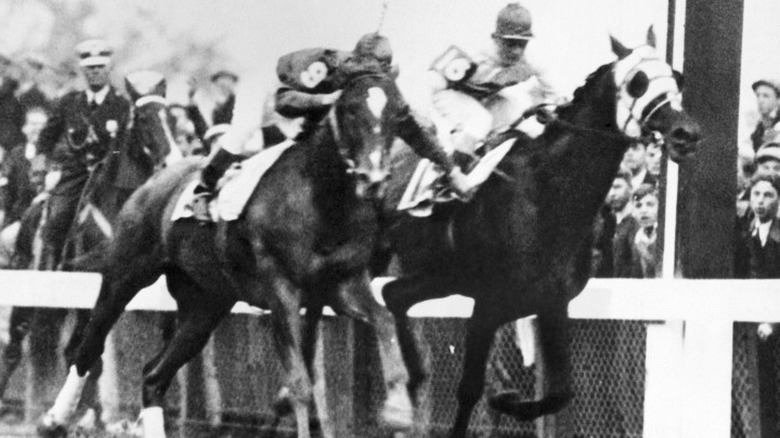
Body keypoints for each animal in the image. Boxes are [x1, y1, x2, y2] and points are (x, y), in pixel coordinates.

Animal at [41, 72, 420, 438]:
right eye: (352, 110)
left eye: (397, 114)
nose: (375, 178)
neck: (323, 200)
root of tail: (149, 185)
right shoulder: (281, 290)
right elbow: (299, 384)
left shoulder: (344, 285)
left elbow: (385, 323)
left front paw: (399, 412)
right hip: (125, 274)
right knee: (88, 348)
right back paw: (54, 419)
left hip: (206, 303)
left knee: (153, 375)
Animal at [378, 32, 700, 436]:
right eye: (637, 81)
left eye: (677, 78)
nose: (687, 133)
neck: (548, 193)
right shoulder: (488, 303)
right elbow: (469, 389)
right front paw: (496, 396)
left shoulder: (551, 303)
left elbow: (560, 393)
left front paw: (508, 400)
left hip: (442, 276)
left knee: (394, 296)